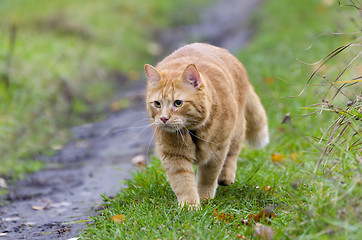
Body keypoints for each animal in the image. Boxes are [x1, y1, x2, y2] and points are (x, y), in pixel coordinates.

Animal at [144, 43, 268, 208]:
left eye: (178, 103)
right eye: (157, 104)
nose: (163, 118)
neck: (192, 131)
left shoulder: (216, 152)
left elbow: (208, 177)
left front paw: (204, 198)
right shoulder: (173, 155)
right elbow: (183, 182)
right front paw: (189, 206)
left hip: (236, 129)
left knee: (233, 152)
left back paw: (226, 176)